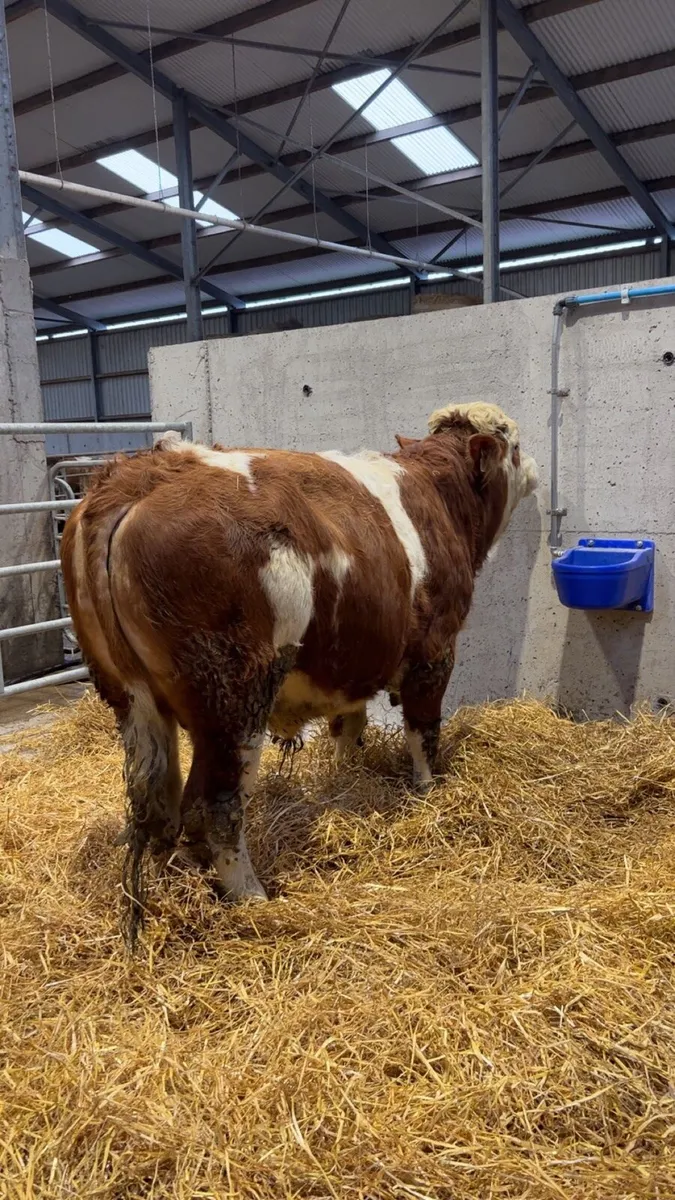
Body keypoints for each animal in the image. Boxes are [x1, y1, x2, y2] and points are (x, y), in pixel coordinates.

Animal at [60, 401, 537, 943]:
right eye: (515, 446)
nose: (534, 469)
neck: (439, 498)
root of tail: (142, 476)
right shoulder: (435, 653)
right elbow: (423, 732)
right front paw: (427, 791)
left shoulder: (350, 670)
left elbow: (349, 729)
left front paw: (347, 779)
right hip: (233, 702)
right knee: (213, 805)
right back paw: (250, 895)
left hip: (130, 696)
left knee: (156, 806)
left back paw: (170, 882)